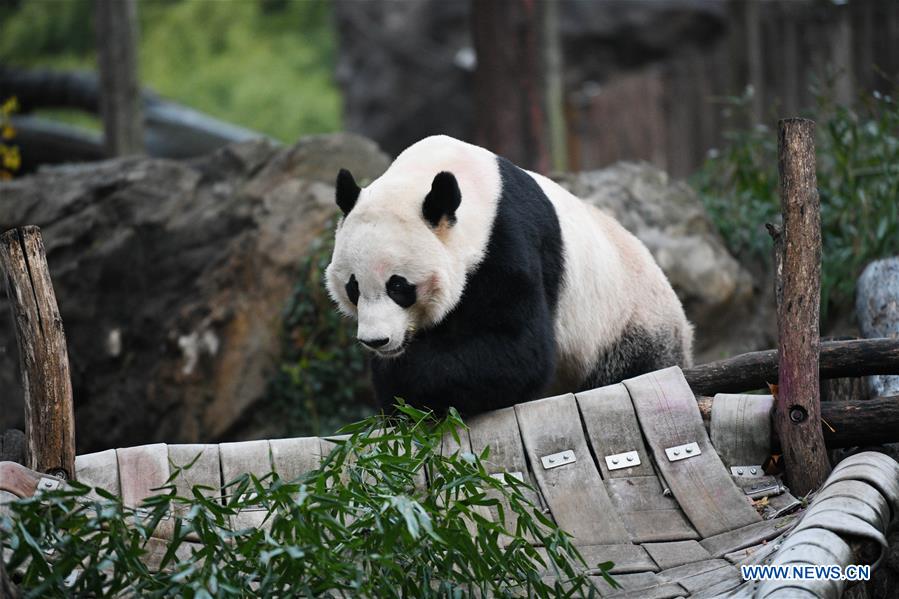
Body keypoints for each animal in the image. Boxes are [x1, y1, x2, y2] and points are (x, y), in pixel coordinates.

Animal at [326, 137, 696, 418]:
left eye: (399, 286)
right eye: (353, 288)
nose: (376, 341)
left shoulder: (506, 239)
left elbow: (517, 349)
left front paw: (401, 377)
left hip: (627, 325)